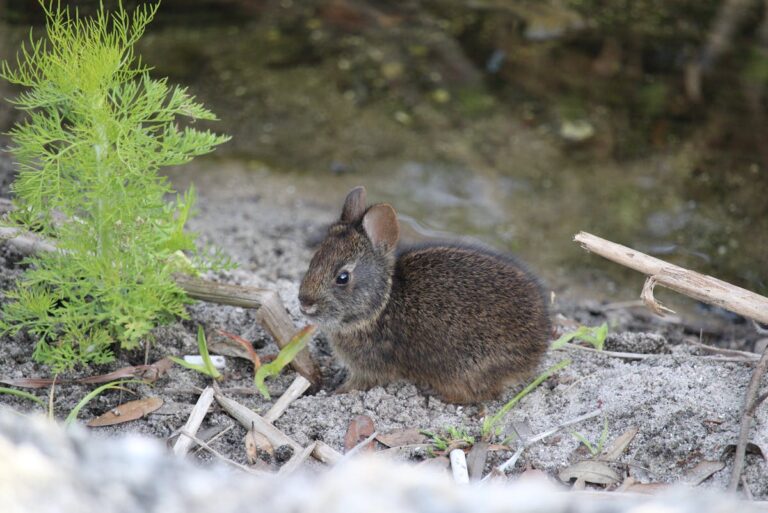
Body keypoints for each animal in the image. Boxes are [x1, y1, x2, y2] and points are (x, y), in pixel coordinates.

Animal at [298, 186, 551, 404]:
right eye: (314, 259)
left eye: (342, 277)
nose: (304, 303)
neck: (381, 304)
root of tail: (537, 347)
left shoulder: (370, 368)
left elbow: (358, 384)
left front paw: (336, 392)